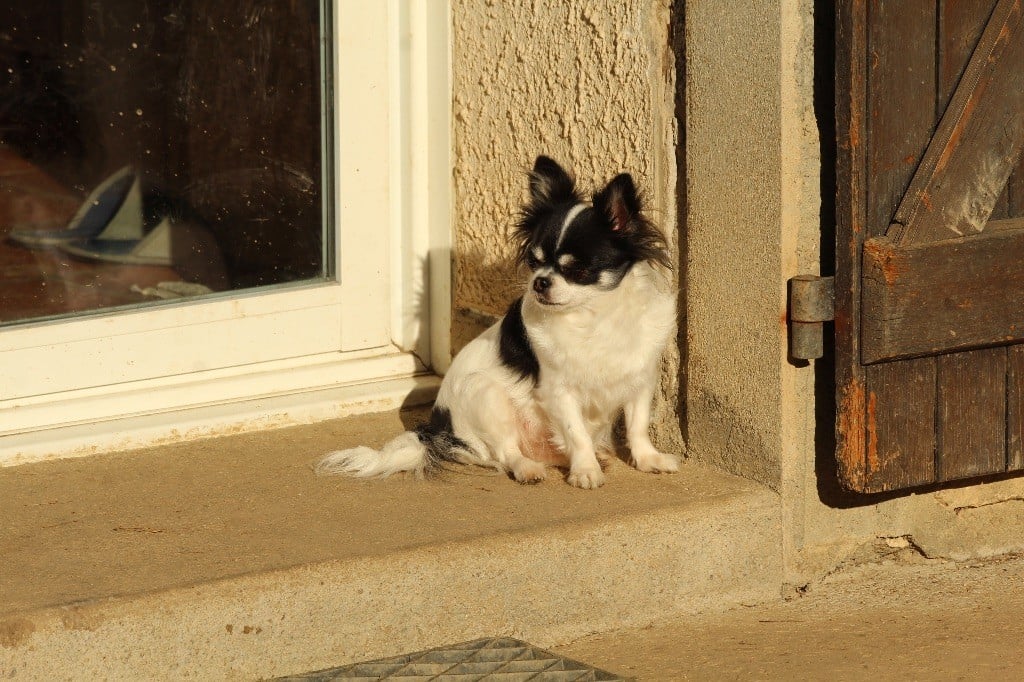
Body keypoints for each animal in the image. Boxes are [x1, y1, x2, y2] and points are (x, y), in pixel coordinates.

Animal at [315, 156, 675, 485]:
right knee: (506, 452)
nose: (540, 282)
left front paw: (647, 459)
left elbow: (637, 426)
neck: (594, 317)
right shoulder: (559, 391)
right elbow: (576, 433)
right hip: (485, 394)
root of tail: (439, 429)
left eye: (577, 269)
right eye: (534, 261)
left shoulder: (640, 380)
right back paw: (529, 468)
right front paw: (585, 470)